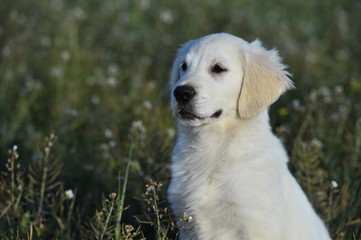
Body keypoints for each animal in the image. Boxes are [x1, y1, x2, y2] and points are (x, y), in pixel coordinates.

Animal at [167, 33, 330, 240]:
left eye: (218, 68)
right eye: (184, 66)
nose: (180, 92)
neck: (214, 149)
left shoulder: (255, 227)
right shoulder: (187, 224)